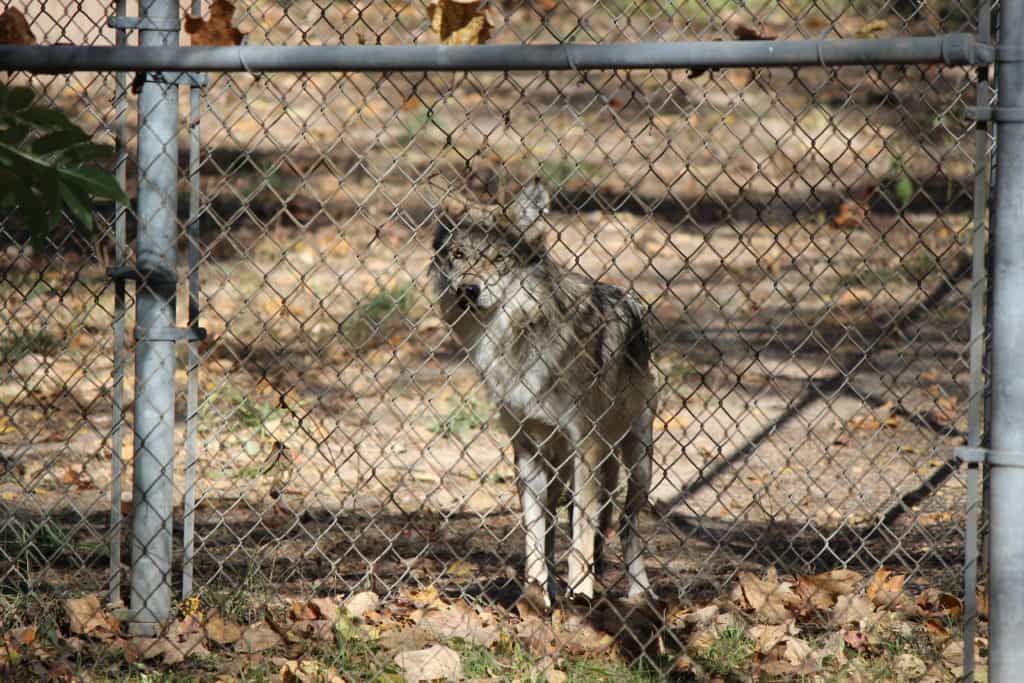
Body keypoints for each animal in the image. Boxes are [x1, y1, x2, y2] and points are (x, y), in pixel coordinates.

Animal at [430, 179, 655, 602]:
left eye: (499, 258)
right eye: (458, 255)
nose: (468, 290)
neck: (512, 337)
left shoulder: (587, 445)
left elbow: (581, 532)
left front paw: (580, 597)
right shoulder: (526, 447)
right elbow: (535, 534)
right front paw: (534, 596)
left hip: (636, 462)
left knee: (627, 525)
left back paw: (639, 593)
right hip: (558, 467)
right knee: (554, 525)